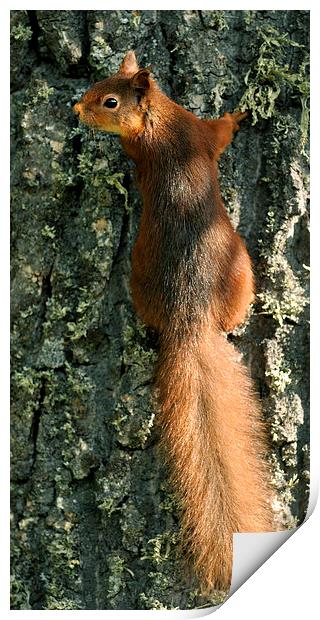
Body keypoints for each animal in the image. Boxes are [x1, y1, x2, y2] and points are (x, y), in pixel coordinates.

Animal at [74, 52, 274, 592]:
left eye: (109, 97)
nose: (76, 109)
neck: (157, 122)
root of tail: (190, 318)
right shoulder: (199, 133)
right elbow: (219, 133)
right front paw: (240, 113)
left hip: (141, 282)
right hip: (240, 272)